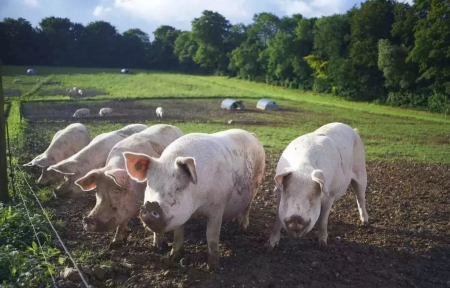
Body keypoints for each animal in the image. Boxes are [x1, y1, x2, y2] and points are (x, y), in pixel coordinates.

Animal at [123, 129, 266, 272]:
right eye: (149, 184)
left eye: (178, 188)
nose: (151, 206)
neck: (197, 207)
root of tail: (252, 135)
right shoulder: (180, 213)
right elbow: (178, 234)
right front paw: (173, 257)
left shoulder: (217, 207)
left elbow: (211, 236)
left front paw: (213, 268)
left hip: (255, 186)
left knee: (247, 208)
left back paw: (243, 228)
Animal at [266, 121, 368, 250]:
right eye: (287, 193)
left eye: (313, 196)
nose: (296, 218)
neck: (303, 170)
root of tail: (352, 130)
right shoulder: (279, 193)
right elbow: (277, 220)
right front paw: (270, 246)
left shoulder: (330, 195)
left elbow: (323, 221)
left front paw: (323, 245)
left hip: (361, 170)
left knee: (361, 198)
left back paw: (365, 223)